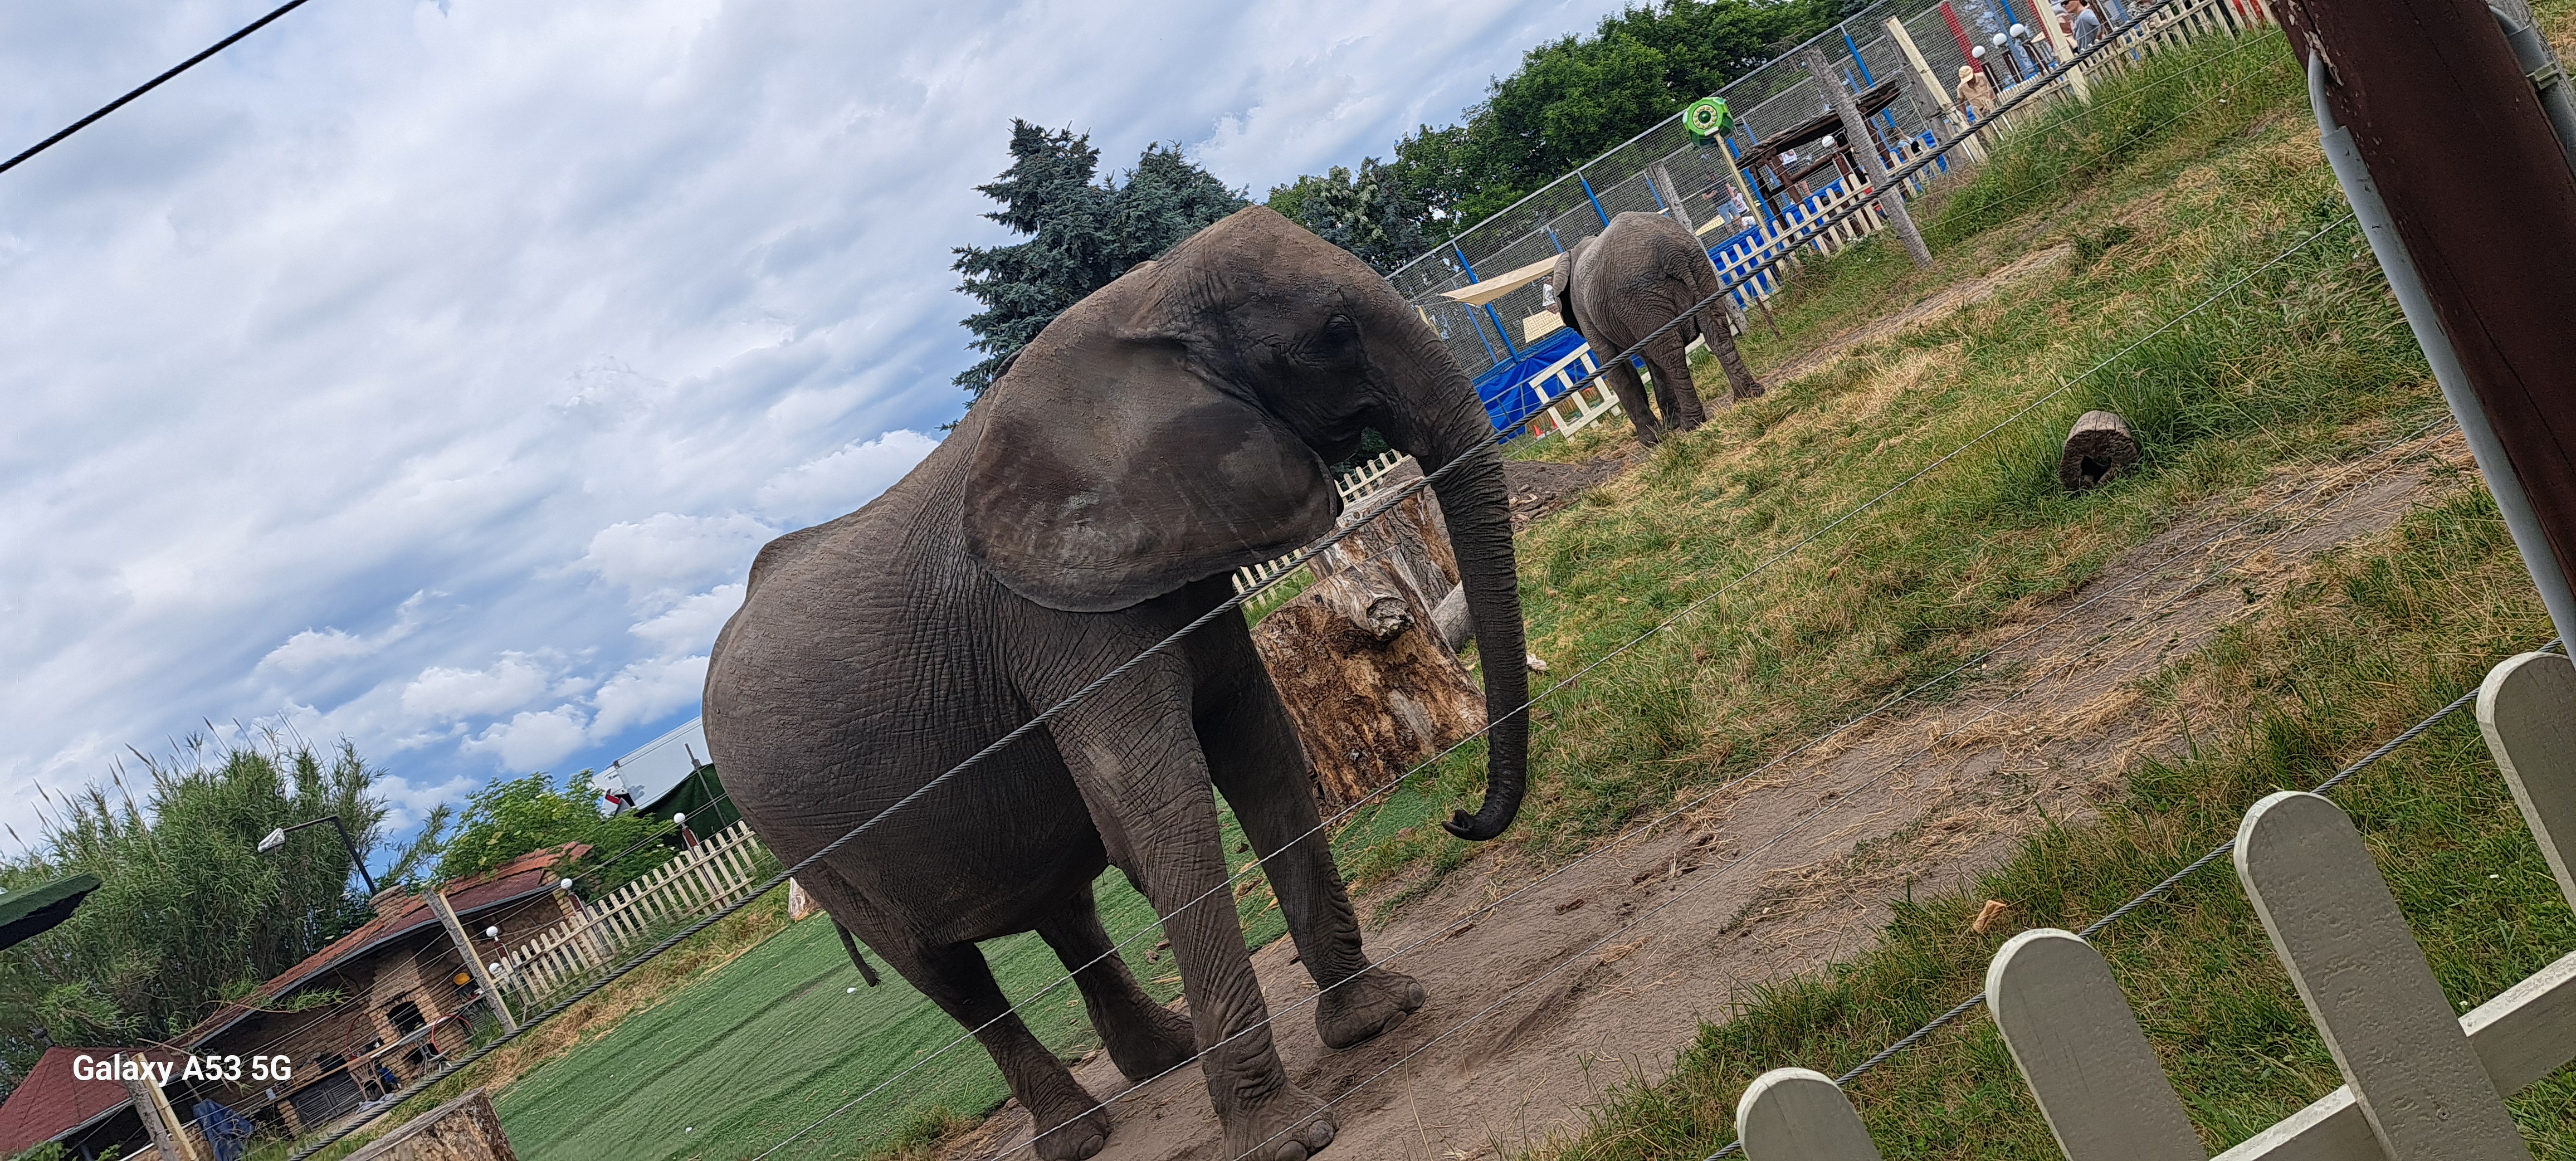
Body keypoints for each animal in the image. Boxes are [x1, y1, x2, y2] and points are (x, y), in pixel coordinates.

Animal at [703, 206, 1531, 1161]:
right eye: (1334, 333)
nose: (1462, 817)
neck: (1142, 300)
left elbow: (1265, 761)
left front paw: (1379, 1017)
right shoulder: (1055, 625)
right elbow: (1159, 815)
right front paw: (1285, 1137)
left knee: (1065, 910)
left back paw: (1164, 1058)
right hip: (805, 846)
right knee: (951, 977)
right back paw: (1078, 1136)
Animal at [1546, 210, 1765, 447]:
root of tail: (1671, 250)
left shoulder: (1584, 312)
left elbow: (1617, 367)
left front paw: (1651, 441)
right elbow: (1650, 361)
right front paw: (1669, 427)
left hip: (1640, 295)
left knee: (1671, 356)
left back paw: (1691, 425)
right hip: (1695, 273)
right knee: (1715, 331)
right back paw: (1748, 396)